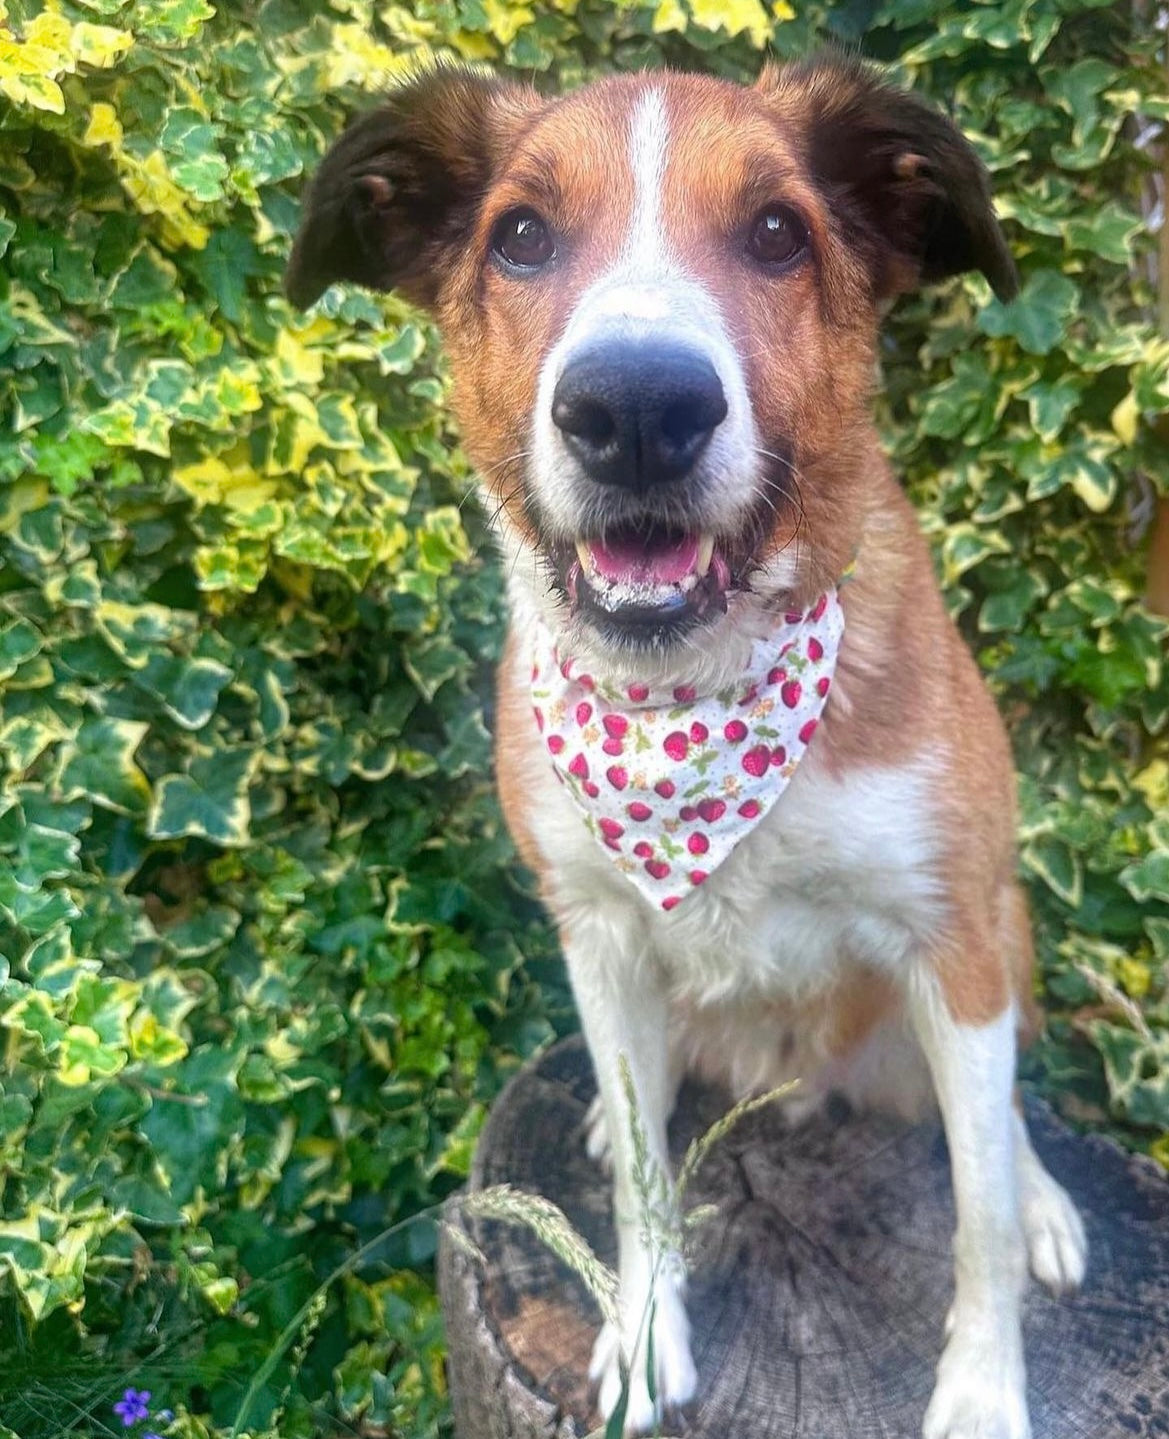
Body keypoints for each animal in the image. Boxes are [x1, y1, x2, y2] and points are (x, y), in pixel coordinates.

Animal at [287, 58, 1094, 1439]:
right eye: (519, 234)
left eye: (776, 231)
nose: (634, 408)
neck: (684, 703)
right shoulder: (598, 930)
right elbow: (643, 1183)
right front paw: (642, 1321)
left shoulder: (951, 932)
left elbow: (976, 1211)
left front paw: (984, 1384)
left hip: (1005, 929)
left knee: (991, 1119)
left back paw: (1039, 1186)